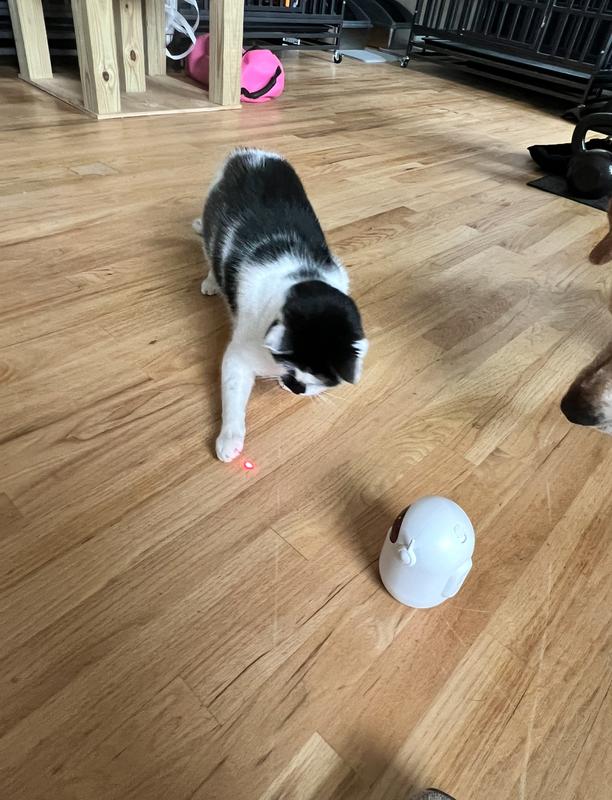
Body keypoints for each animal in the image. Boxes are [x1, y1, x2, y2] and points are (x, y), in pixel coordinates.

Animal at [194, 148, 368, 462]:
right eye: (290, 370)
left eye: (318, 380)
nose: (295, 388)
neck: (301, 278)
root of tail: (250, 153)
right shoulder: (239, 352)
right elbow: (233, 391)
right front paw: (229, 438)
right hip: (212, 222)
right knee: (210, 252)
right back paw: (212, 281)